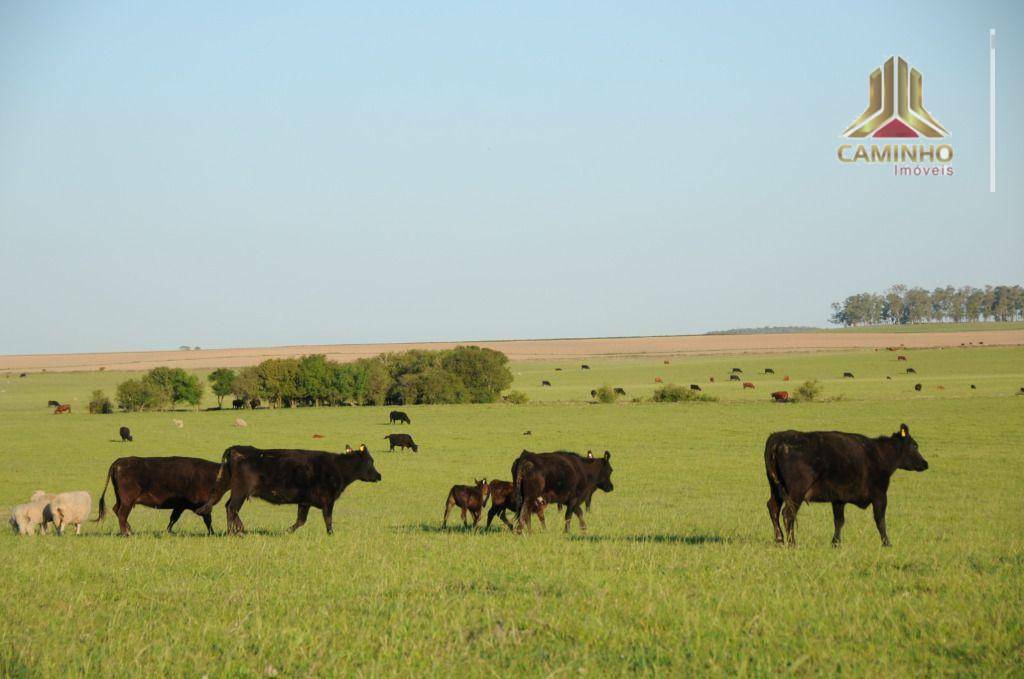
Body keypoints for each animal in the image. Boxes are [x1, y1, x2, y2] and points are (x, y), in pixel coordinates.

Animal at [94, 456, 222, 536]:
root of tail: (119, 462)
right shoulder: (202, 505)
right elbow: (207, 519)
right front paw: (212, 533)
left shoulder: (180, 506)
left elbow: (173, 518)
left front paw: (168, 532)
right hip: (127, 500)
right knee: (121, 513)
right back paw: (126, 533)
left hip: (120, 498)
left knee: (117, 510)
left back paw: (130, 530)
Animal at [197, 446, 382, 536]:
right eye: (371, 461)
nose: (379, 476)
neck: (338, 467)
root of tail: (235, 449)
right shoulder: (328, 500)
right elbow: (328, 519)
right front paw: (331, 534)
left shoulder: (305, 501)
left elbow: (301, 520)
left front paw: (285, 532)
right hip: (240, 491)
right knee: (231, 508)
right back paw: (233, 533)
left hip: (233, 489)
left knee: (229, 507)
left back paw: (240, 530)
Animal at [761, 426, 929, 548]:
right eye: (915, 446)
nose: (925, 463)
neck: (879, 454)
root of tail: (779, 437)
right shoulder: (880, 495)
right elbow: (880, 520)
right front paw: (887, 543)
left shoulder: (838, 498)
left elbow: (839, 521)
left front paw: (835, 543)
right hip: (796, 492)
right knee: (788, 513)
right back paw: (792, 543)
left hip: (775, 488)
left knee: (773, 508)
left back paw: (779, 540)